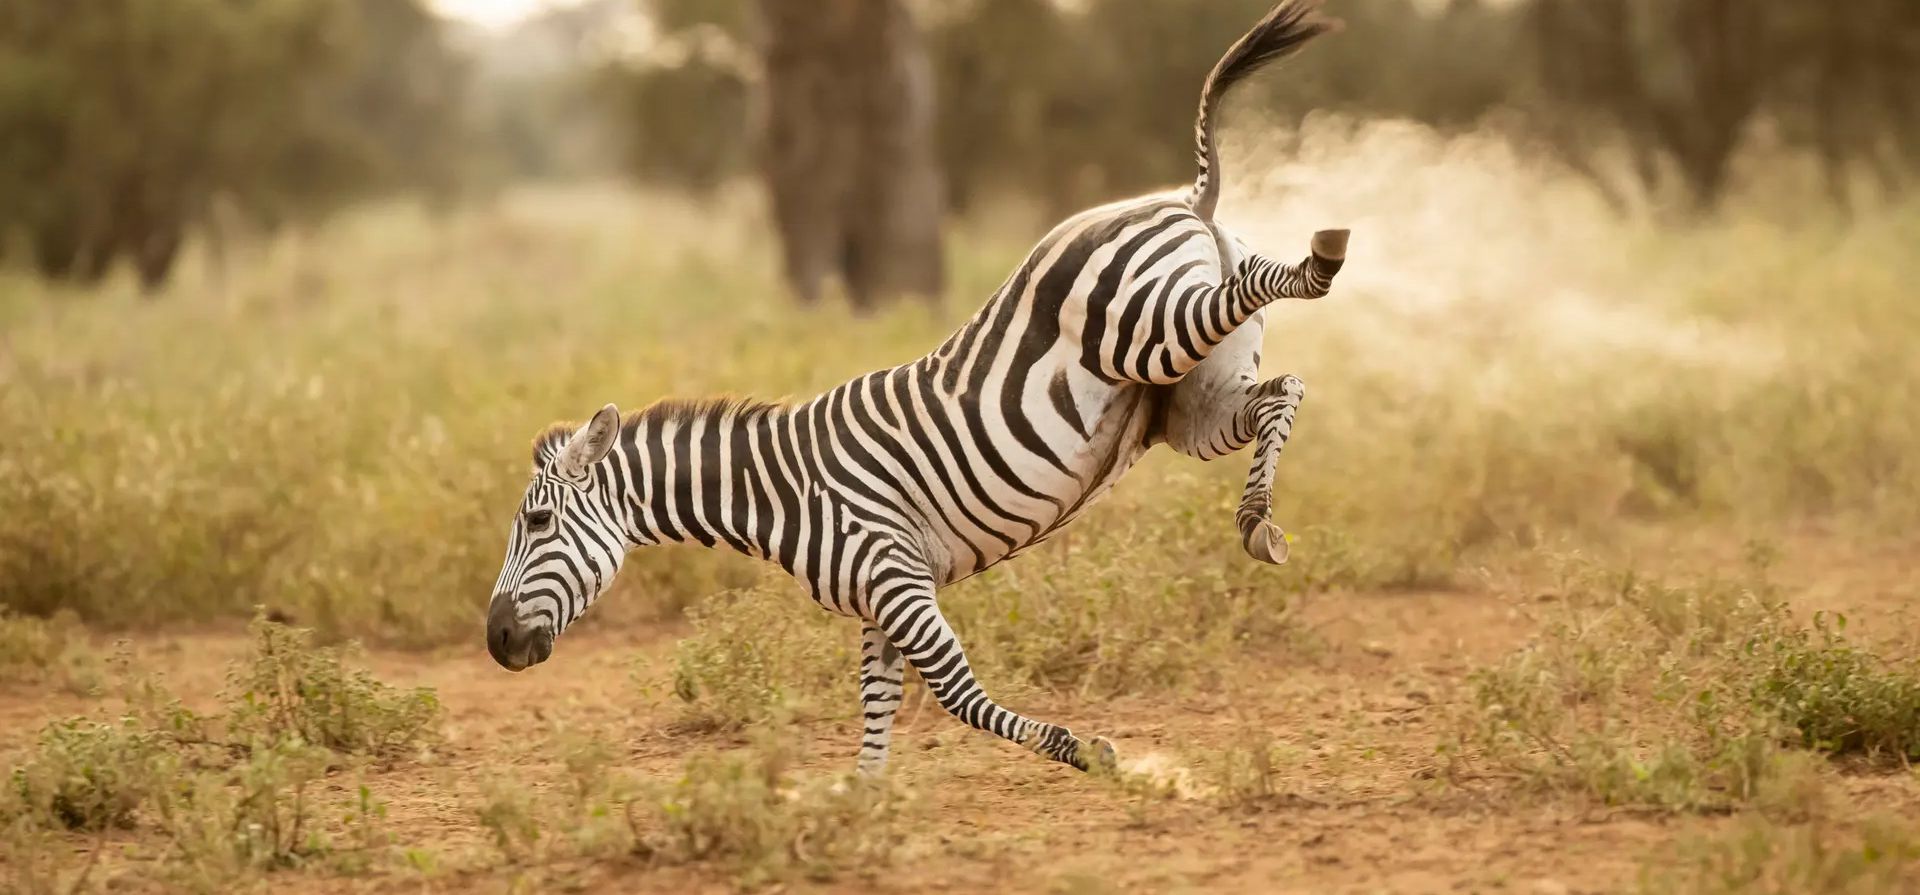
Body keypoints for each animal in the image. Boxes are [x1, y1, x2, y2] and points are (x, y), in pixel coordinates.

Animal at [487, 0, 1348, 776]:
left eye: (536, 521)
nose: (495, 641)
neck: (776, 492)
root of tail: (1177, 198)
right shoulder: (880, 599)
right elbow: (877, 707)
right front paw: (860, 805)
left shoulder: (894, 575)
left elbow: (958, 695)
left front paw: (1088, 751)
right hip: (1189, 397)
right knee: (1280, 385)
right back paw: (1258, 521)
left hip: (1144, 328)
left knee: (1262, 297)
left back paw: (1325, 254)